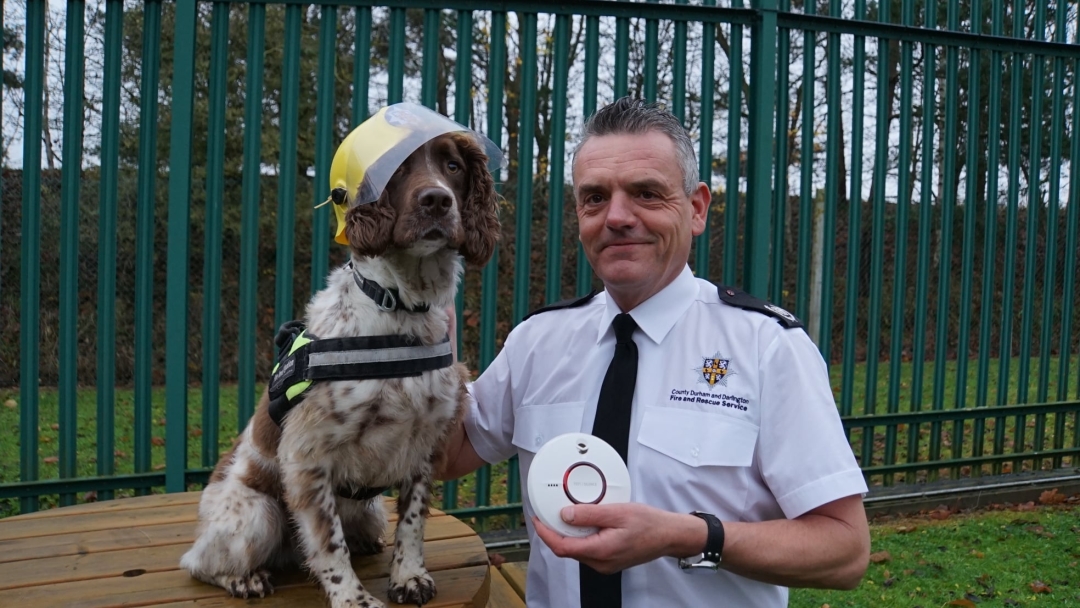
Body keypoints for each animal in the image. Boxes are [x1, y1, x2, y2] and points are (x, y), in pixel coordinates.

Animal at [181, 129, 501, 608]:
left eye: (453, 167)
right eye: (398, 168)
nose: (437, 201)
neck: (400, 308)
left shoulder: (427, 443)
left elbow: (412, 523)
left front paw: (408, 576)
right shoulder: (307, 457)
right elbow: (328, 542)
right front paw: (353, 599)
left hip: (369, 512)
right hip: (257, 515)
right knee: (199, 562)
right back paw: (244, 578)